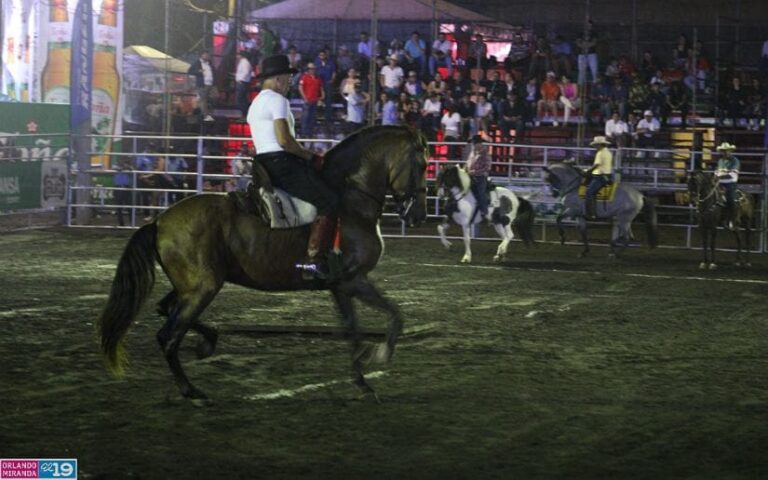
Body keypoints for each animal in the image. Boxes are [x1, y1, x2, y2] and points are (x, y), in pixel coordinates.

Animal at [97, 126, 428, 404]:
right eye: (424, 165)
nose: (418, 215)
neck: (351, 201)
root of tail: (159, 221)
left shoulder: (340, 285)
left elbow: (356, 329)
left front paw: (362, 380)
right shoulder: (352, 280)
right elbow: (391, 317)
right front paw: (380, 356)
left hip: (190, 287)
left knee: (165, 311)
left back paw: (208, 343)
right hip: (203, 287)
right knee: (168, 336)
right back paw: (193, 391)